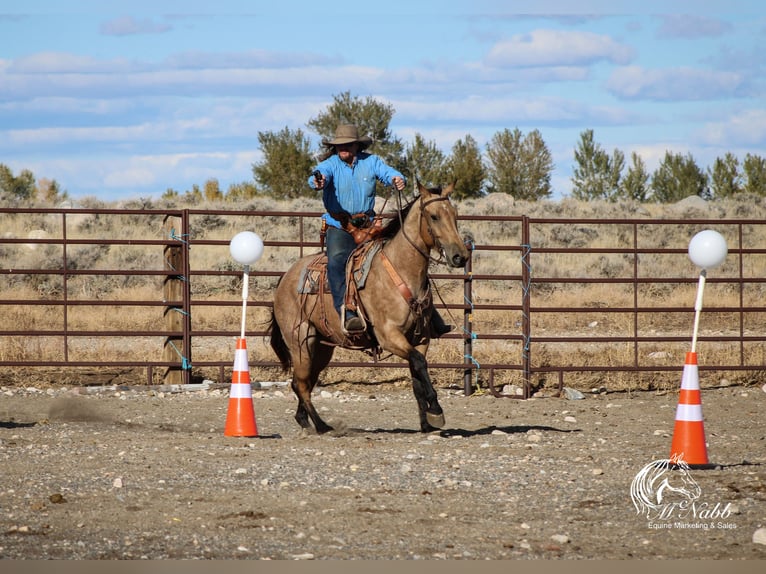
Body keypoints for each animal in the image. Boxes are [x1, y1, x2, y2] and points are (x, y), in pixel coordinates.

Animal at [270, 184, 474, 436]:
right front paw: (436, 411)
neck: (401, 270)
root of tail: (284, 277)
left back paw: (305, 420)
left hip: (321, 346)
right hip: (299, 341)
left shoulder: (420, 338)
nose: (460, 256)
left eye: (455, 215)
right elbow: (419, 363)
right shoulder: (389, 336)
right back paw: (322, 425)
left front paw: (426, 423)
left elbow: (417, 375)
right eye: (434, 216)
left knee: (304, 380)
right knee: (301, 383)